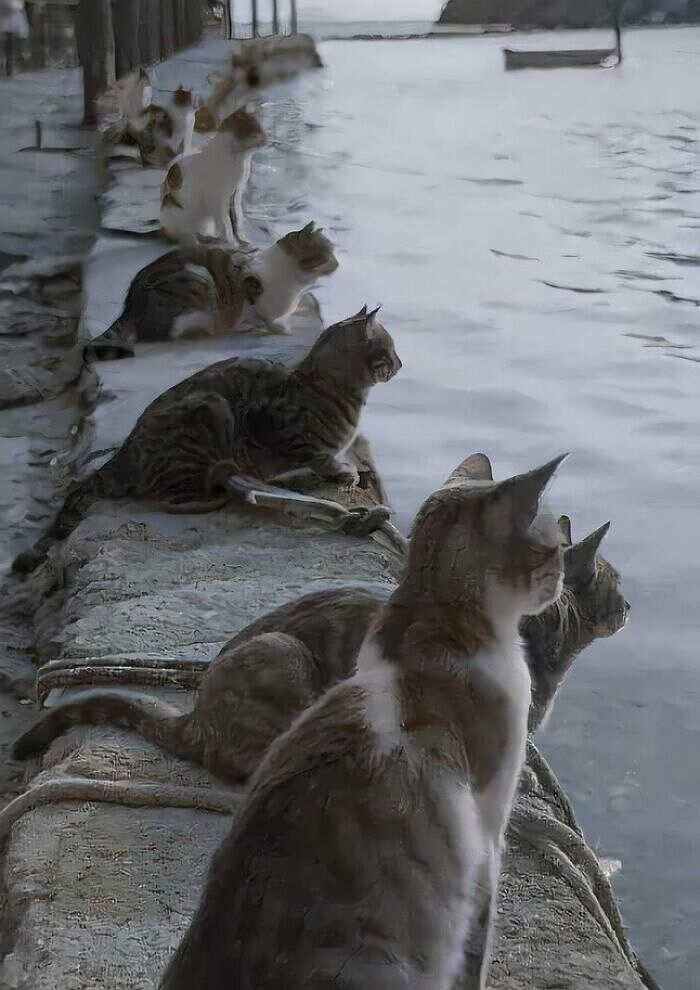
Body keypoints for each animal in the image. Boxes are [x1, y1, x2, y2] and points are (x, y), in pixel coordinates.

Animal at [12, 306, 400, 576]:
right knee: (167, 497)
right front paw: (341, 471)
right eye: (391, 349)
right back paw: (213, 496)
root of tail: (125, 451)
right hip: (209, 414)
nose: (400, 364)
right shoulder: (280, 433)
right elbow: (320, 458)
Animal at [160, 105, 266, 247]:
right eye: (255, 131)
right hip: (176, 211)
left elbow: (235, 221)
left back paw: (209, 238)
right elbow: (226, 223)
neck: (239, 159)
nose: (266, 139)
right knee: (185, 235)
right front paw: (232, 244)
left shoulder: (235, 195)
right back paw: (197, 241)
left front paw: (241, 241)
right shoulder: (217, 198)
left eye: (261, 130)